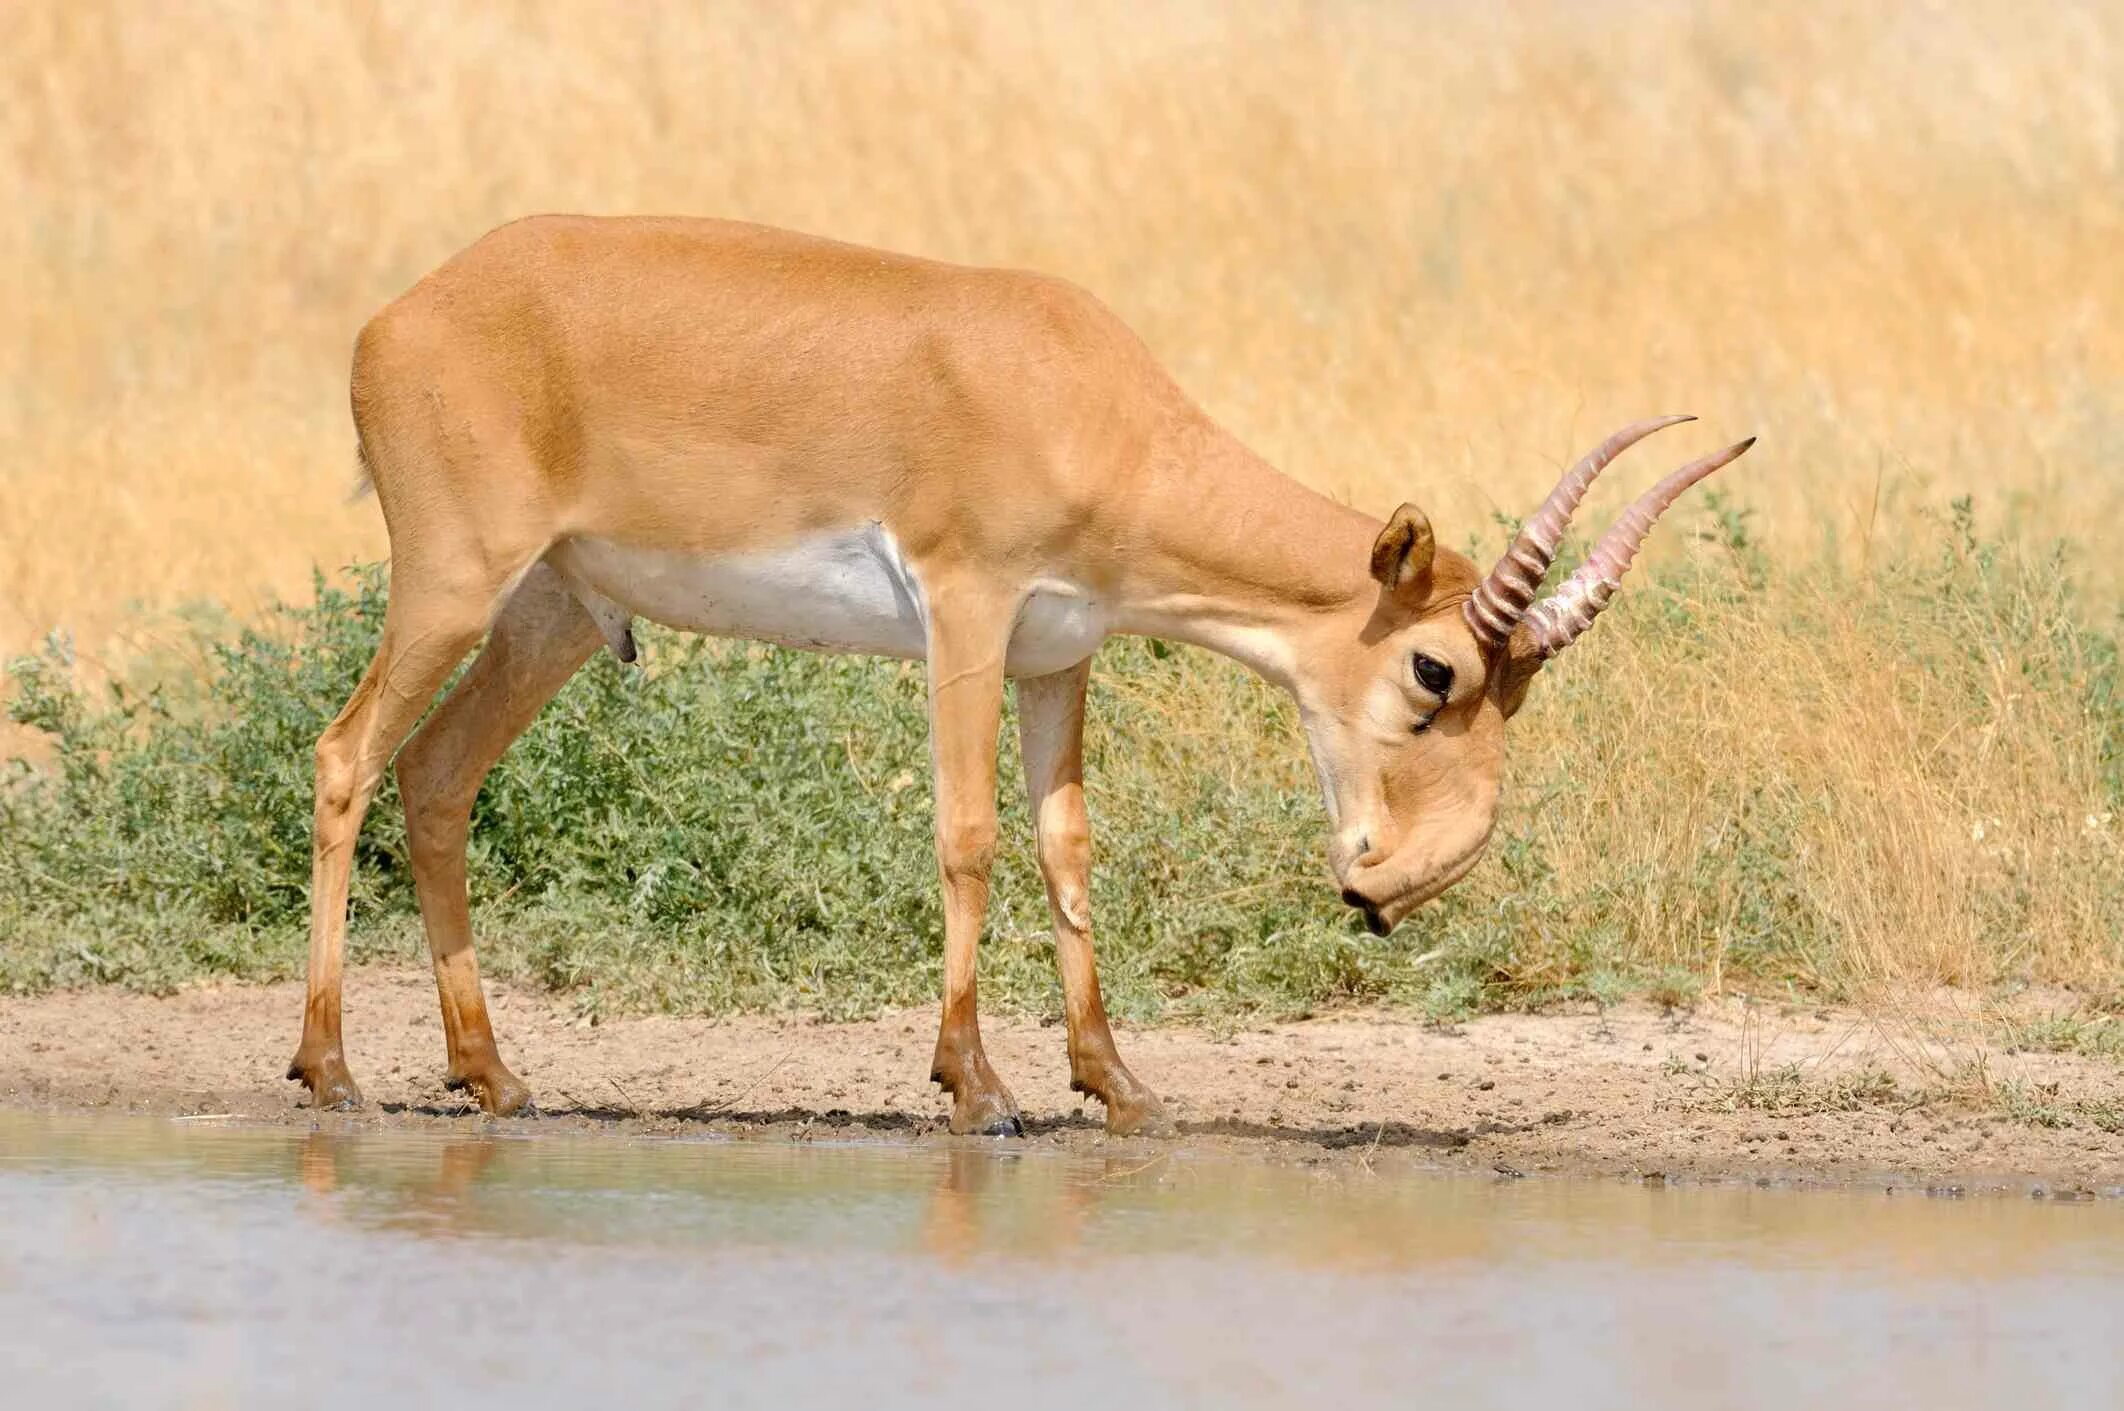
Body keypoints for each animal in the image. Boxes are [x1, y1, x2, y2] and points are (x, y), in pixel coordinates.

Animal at [295, 217, 1758, 1139]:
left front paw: (1119, 1084)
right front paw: (977, 1083)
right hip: (454, 582)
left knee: (434, 775)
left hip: (551, 610)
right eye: (1434, 666)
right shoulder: (969, 611)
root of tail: (394, 319)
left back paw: (492, 1075)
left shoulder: (1060, 652)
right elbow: (969, 835)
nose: (1392, 884)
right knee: (344, 754)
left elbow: (1068, 847)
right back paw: (330, 1069)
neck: (1077, 396)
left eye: (1517, 695)